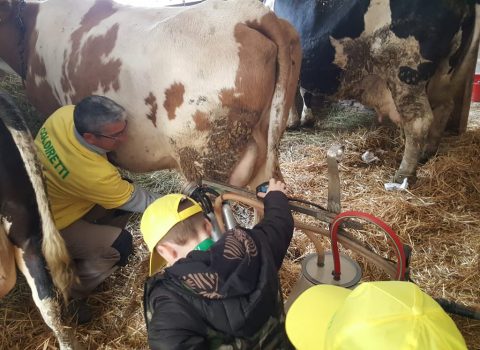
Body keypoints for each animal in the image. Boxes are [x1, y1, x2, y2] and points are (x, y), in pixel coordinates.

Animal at [268, 0, 480, 180]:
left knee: (418, 121)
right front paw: (303, 119)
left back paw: (403, 175)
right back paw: (428, 153)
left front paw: (291, 122)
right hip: (446, 73)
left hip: (406, 71)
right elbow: (302, 92)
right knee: (445, 107)